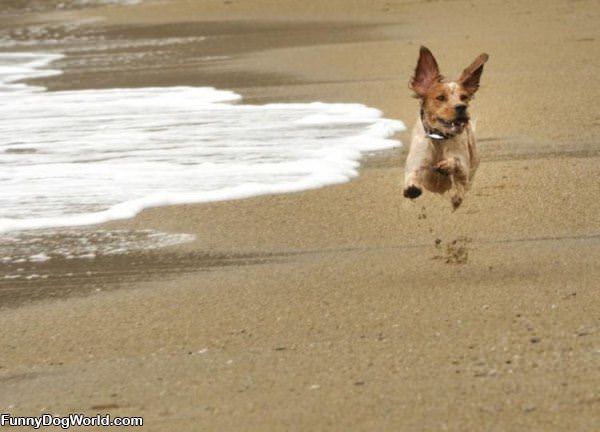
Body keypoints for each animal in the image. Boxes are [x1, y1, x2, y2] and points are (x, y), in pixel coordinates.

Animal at [404, 46, 488, 208]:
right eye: (441, 97)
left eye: (464, 97)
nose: (461, 107)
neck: (439, 139)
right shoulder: (417, 161)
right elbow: (415, 173)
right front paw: (412, 188)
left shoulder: (464, 167)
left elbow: (457, 167)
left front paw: (447, 166)